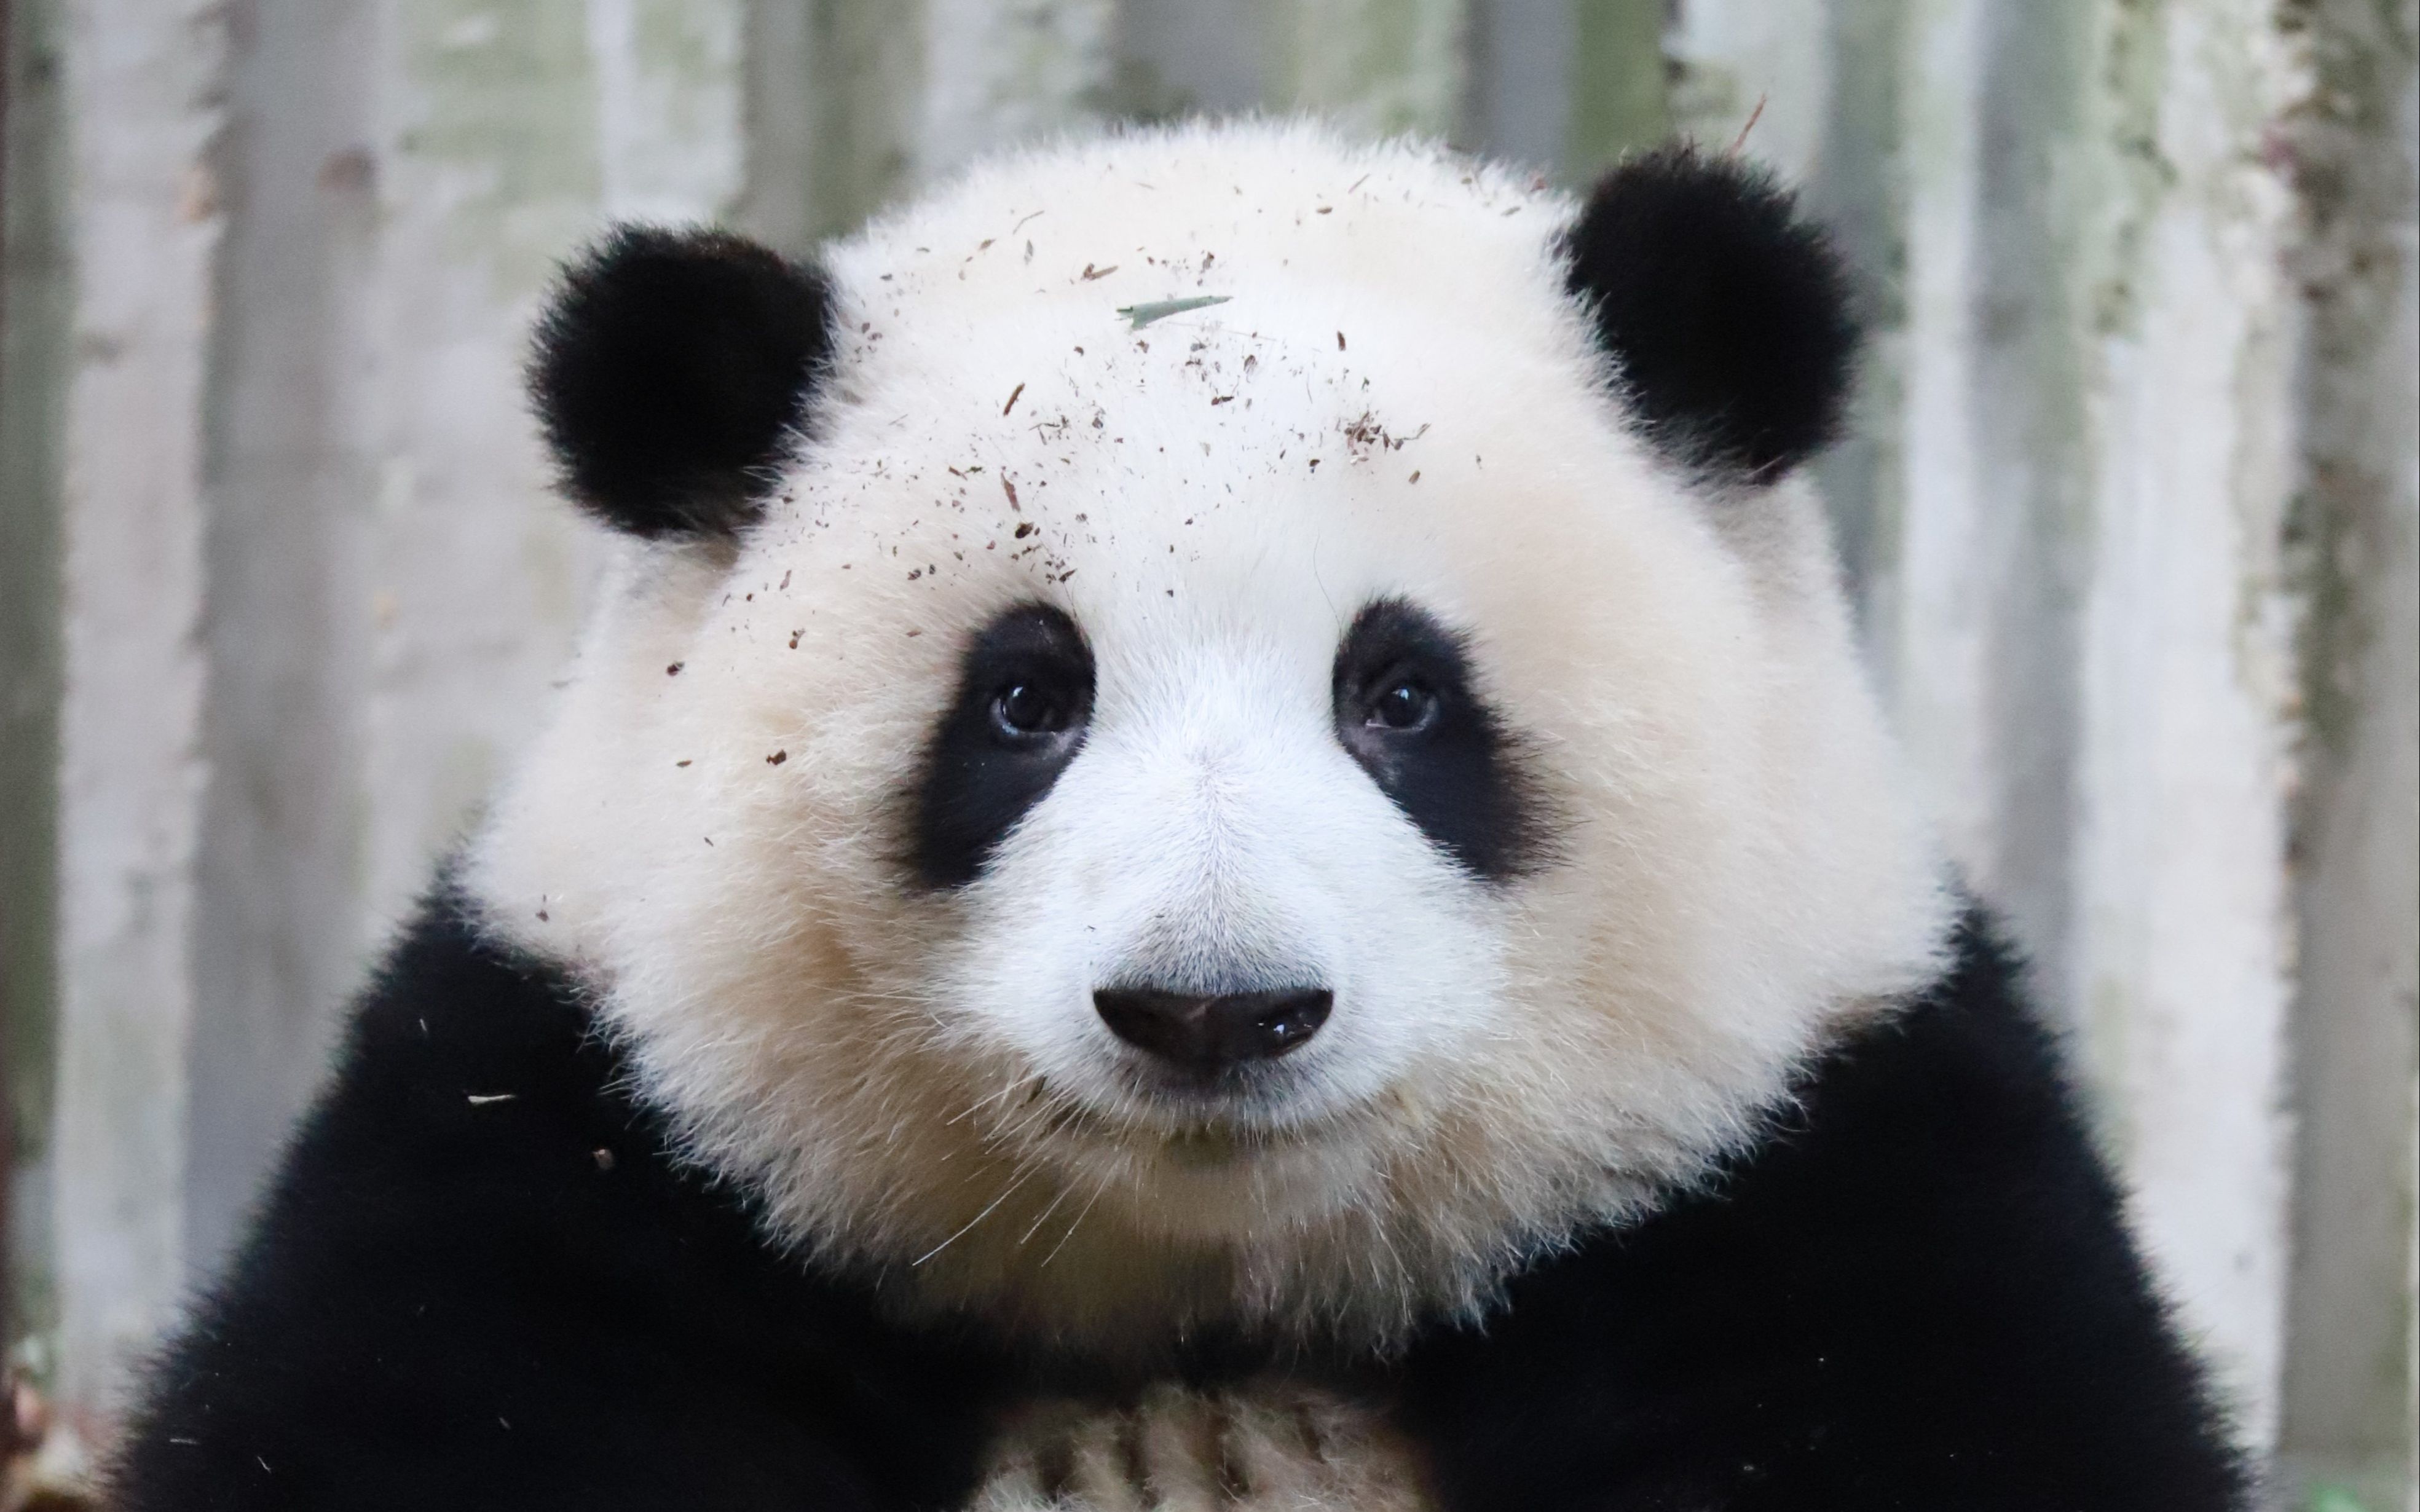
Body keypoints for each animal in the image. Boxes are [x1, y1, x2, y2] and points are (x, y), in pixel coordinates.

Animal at [117, 120, 2245, 1510]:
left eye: (1400, 696)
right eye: (1024, 700)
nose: (1211, 1007)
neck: (1211, 1305)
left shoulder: (1822, 1150)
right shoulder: (585, 1128)